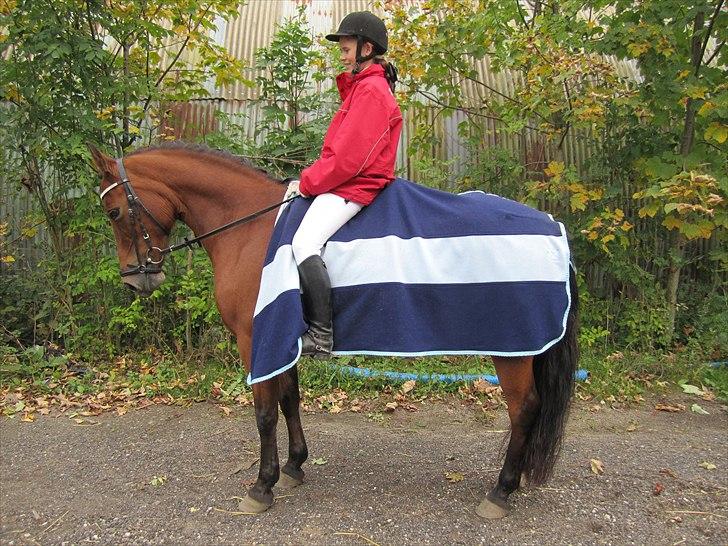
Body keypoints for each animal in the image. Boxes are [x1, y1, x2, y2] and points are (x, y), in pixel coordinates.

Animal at [88, 142, 576, 516]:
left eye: (113, 212)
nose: (134, 280)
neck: (250, 225)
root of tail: (552, 226)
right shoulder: (280, 338)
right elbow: (289, 399)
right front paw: (293, 468)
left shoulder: (255, 339)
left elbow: (264, 413)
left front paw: (261, 486)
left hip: (514, 348)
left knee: (523, 409)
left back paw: (501, 490)